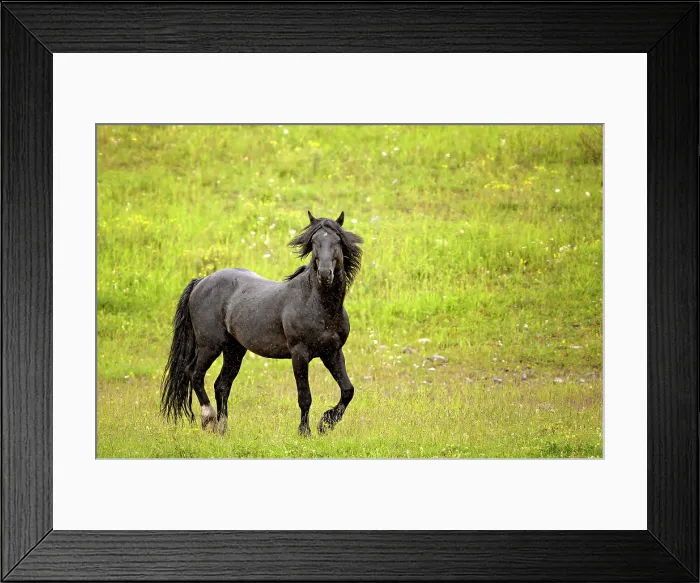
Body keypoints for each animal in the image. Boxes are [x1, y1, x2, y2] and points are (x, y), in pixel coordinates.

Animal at [160, 211, 363, 436]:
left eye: (337, 241)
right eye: (314, 242)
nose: (325, 274)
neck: (318, 305)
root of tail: (202, 281)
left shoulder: (332, 352)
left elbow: (348, 390)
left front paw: (326, 423)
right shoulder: (299, 354)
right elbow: (305, 397)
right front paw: (305, 431)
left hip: (234, 349)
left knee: (221, 385)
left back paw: (223, 429)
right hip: (209, 345)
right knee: (194, 373)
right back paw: (209, 419)